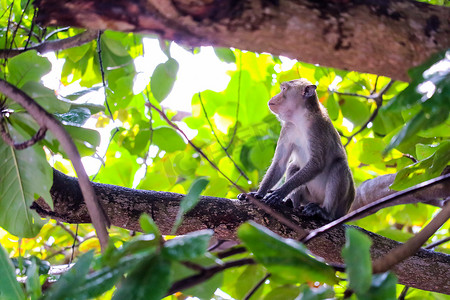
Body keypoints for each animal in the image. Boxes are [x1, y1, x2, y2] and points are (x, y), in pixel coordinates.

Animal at [239, 79, 356, 220]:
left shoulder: (317, 127)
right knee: (293, 166)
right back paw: (291, 204)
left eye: (284, 89)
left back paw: (325, 212)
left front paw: (280, 192)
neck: (300, 119)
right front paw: (258, 194)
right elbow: (280, 163)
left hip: (342, 205)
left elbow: (317, 163)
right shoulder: (288, 128)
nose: (274, 97)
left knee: (339, 166)